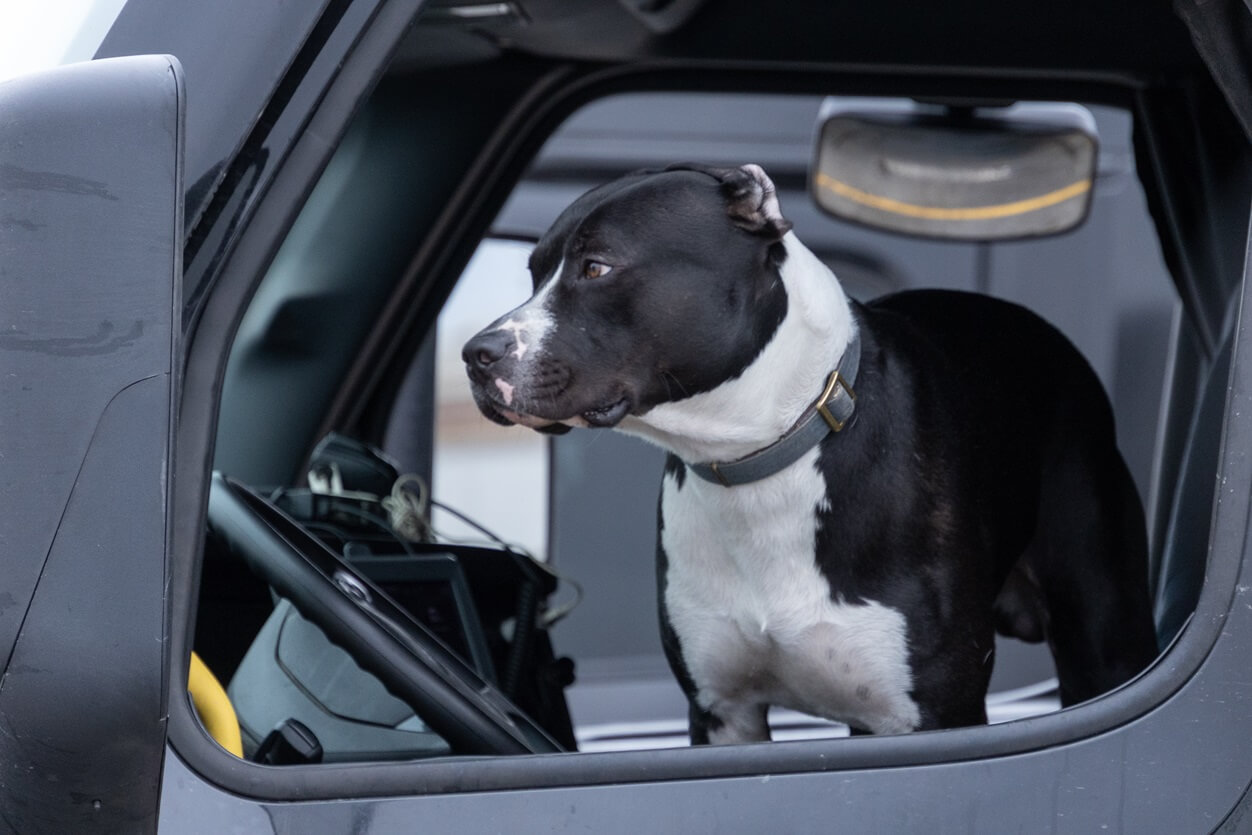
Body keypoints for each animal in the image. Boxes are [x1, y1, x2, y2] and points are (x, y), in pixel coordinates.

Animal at [465, 162, 1156, 746]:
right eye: (534, 274)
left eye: (597, 268)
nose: (476, 354)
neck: (755, 456)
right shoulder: (724, 714)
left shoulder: (932, 717)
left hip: (1105, 637)